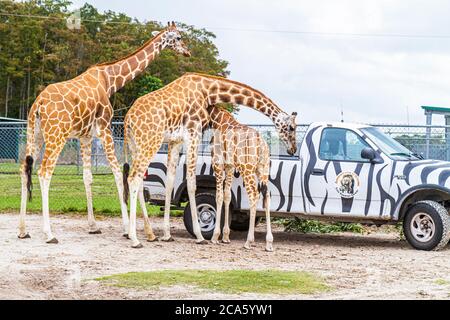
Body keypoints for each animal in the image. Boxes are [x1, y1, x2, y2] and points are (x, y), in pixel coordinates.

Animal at [18, 21, 191, 242]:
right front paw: (126, 229)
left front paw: (93, 226)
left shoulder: (84, 136)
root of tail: (38, 105)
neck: (109, 80)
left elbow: (87, 176)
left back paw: (23, 230)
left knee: (24, 169)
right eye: (178, 37)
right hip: (56, 135)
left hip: (35, 134)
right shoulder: (105, 128)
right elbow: (117, 173)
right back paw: (49, 234)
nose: (187, 52)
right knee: (44, 172)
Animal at [123, 72, 298, 248]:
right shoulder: (194, 134)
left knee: (138, 181)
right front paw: (202, 236)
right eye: (291, 128)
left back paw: (149, 234)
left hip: (136, 146)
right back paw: (135, 238)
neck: (208, 90)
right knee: (133, 178)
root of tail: (127, 120)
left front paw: (167, 234)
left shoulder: (177, 141)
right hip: (150, 141)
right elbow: (194, 185)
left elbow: (170, 183)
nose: (293, 149)